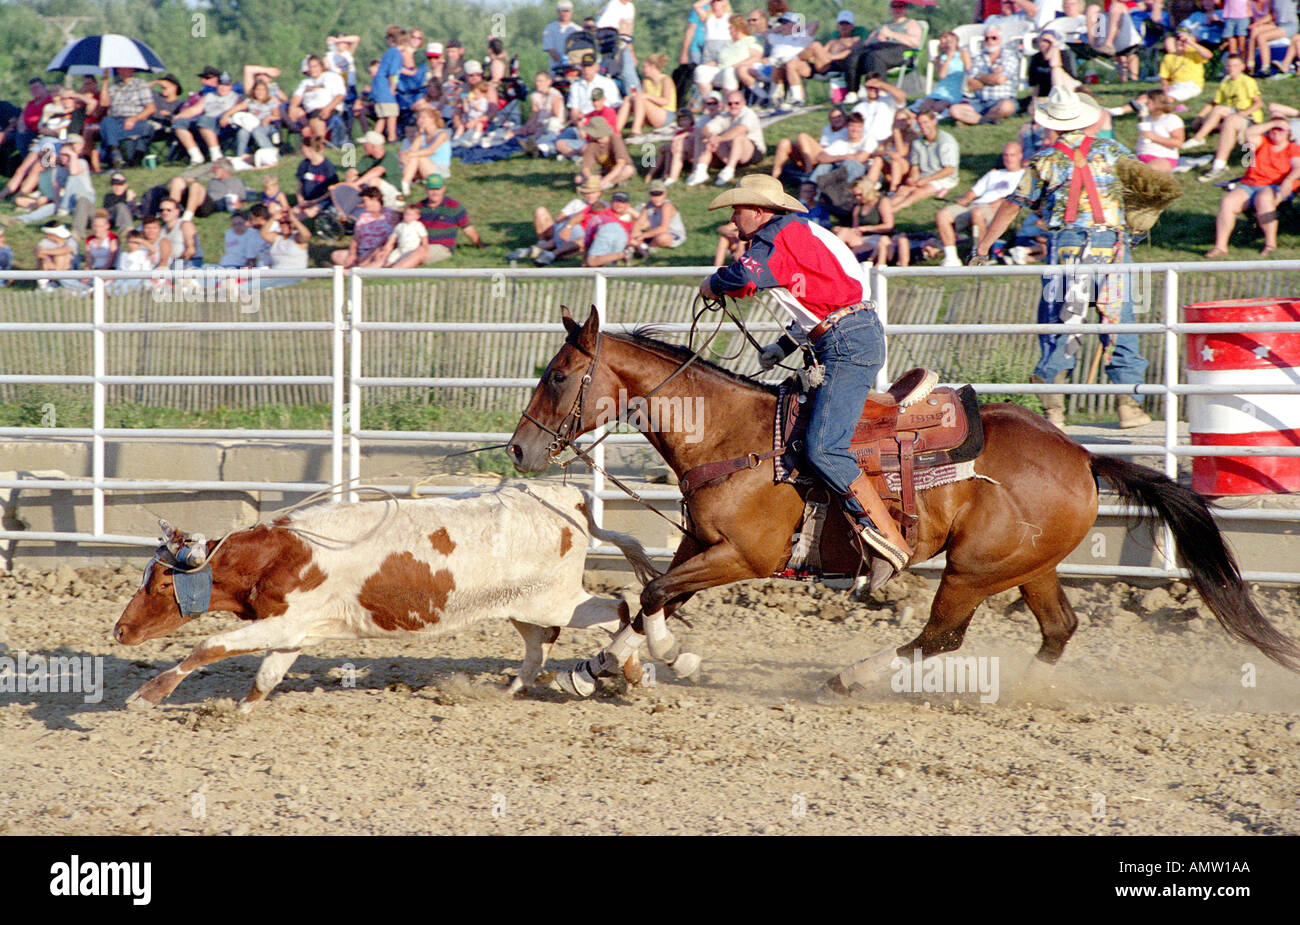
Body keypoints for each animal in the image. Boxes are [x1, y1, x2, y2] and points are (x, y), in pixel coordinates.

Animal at [113, 480, 660, 711]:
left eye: (159, 583)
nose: (120, 630)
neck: (284, 552)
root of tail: (568, 497)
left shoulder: (286, 622)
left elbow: (208, 646)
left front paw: (148, 694)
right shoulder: (293, 630)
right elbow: (267, 675)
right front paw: (239, 712)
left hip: (555, 597)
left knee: (616, 607)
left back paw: (626, 671)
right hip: (521, 604)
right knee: (539, 642)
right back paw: (517, 688)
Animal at [506, 306, 1300, 696]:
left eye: (558, 375)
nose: (518, 450)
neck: (734, 434)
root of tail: (1080, 454)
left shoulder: (744, 555)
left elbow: (654, 594)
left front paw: (658, 660)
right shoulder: (702, 544)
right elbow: (650, 594)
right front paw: (605, 666)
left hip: (972, 570)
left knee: (941, 635)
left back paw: (851, 676)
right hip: (1027, 565)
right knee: (1059, 627)